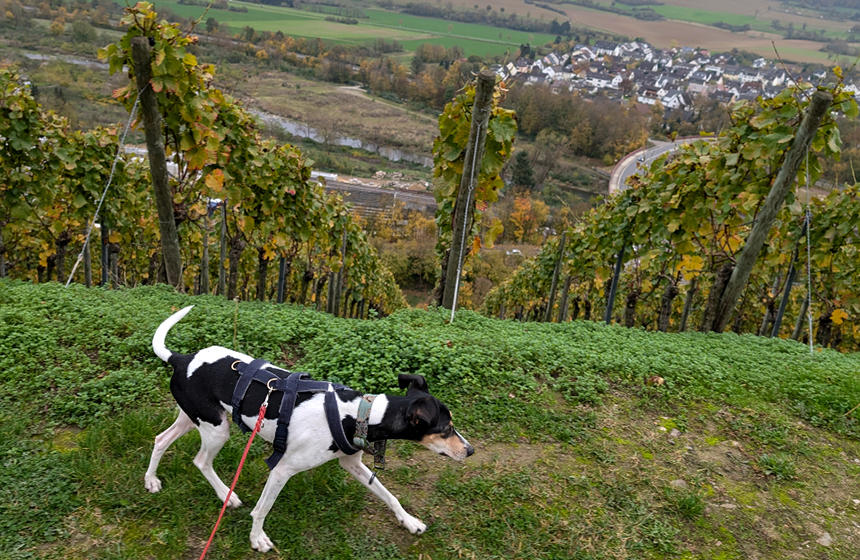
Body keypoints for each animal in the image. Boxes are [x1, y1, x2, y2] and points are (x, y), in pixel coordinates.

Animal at [144, 306, 474, 552]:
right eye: (446, 428)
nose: (470, 451)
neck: (360, 414)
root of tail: (182, 358)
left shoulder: (352, 464)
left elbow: (388, 494)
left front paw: (409, 521)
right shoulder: (282, 469)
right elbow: (261, 510)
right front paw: (256, 538)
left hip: (195, 418)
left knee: (160, 439)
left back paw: (152, 481)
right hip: (215, 428)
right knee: (201, 460)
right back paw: (227, 493)